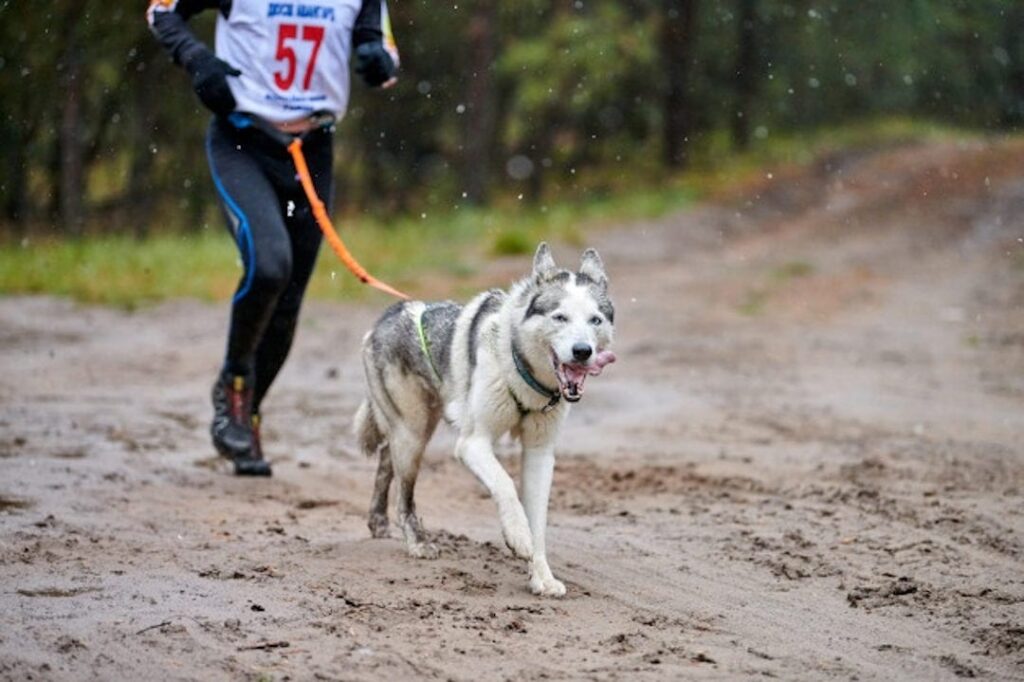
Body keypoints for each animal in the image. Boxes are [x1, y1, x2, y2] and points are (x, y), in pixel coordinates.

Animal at [352, 241, 614, 593]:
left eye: (595, 320)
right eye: (560, 317)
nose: (583, 351)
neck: (521, 370)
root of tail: (388, 315)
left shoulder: (540, 453)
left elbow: (539, 522)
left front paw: (542, 578)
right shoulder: (472, 444)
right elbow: (505, 485)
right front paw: (518, 537)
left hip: (413, 431)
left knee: (384, 460)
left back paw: (377, 522)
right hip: (413, 436)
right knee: (403, 497)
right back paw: (418, 542)